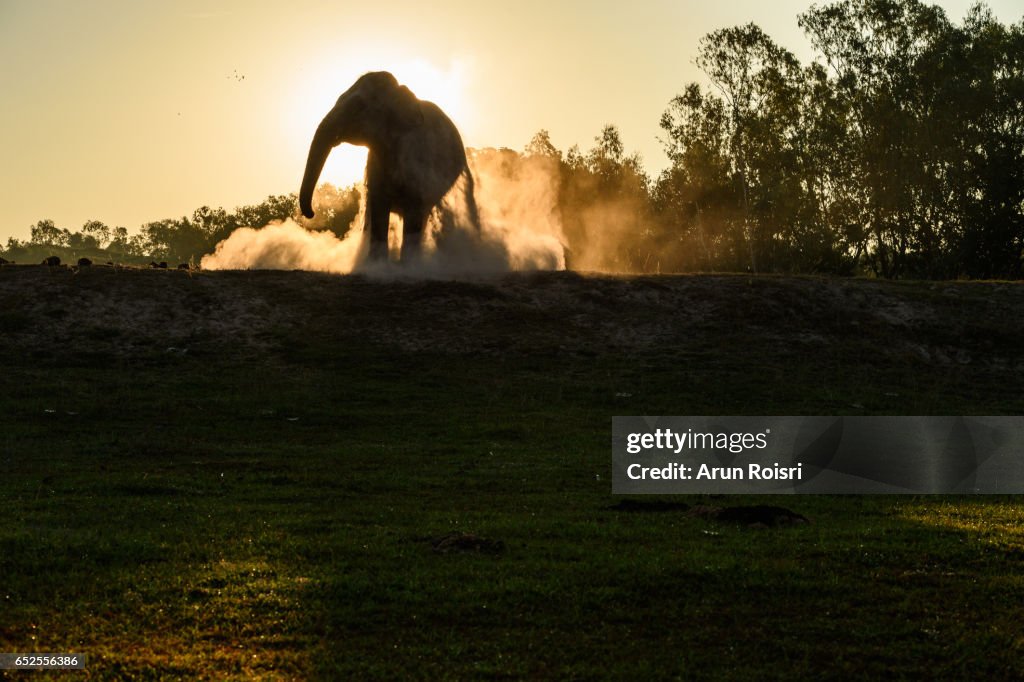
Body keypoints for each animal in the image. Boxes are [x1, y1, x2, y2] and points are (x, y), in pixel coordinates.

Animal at [299, 71, 479, 262]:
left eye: (358, 107)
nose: (311, 214)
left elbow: (413, 211)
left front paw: (404, 266)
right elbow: (379, 209)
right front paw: (376, 265)